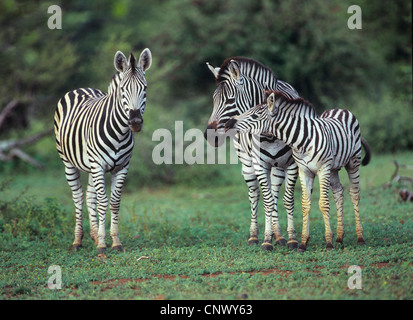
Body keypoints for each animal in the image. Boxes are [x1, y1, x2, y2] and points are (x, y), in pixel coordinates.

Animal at [54, 48, 152, 252]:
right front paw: (101, 244)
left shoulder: (122, 167)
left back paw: (93, 234)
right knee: (78, 197)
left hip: (91, 166)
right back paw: (78, 240)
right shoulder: (98, 165)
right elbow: (103, 202)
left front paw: (114, 241)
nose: (135, 123)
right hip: (69, 163)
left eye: (145, 88)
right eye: (123, 90)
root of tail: (80, 88)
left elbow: (114, 202)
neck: (120, 133)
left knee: (90, 195)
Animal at [204, 58, 300, 252]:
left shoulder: (292, 164)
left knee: (274, 193)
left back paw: (278, 236)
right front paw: (266, 240)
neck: (270, 135)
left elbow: (286, 199)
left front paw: (292, 239)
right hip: (248, 165)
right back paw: (255, 236)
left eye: (230, 100)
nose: (208, 136)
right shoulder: (259, 164)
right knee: (255, 195)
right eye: (213, 100)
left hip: (277, 166)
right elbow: (266, 201)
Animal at [225, 90, 370, 252]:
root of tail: (340, 109)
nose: (228, 123)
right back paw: (339, 237)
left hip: (353, 162)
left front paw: (328, 243)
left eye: (255, 116)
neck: (303, 140)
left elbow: (323, 203)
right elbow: (305, 204)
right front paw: (303, 243)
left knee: (355, 194)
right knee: (339, 192)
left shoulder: (322, 169)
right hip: (333, 169)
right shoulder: (304, 171)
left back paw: (360, 238)